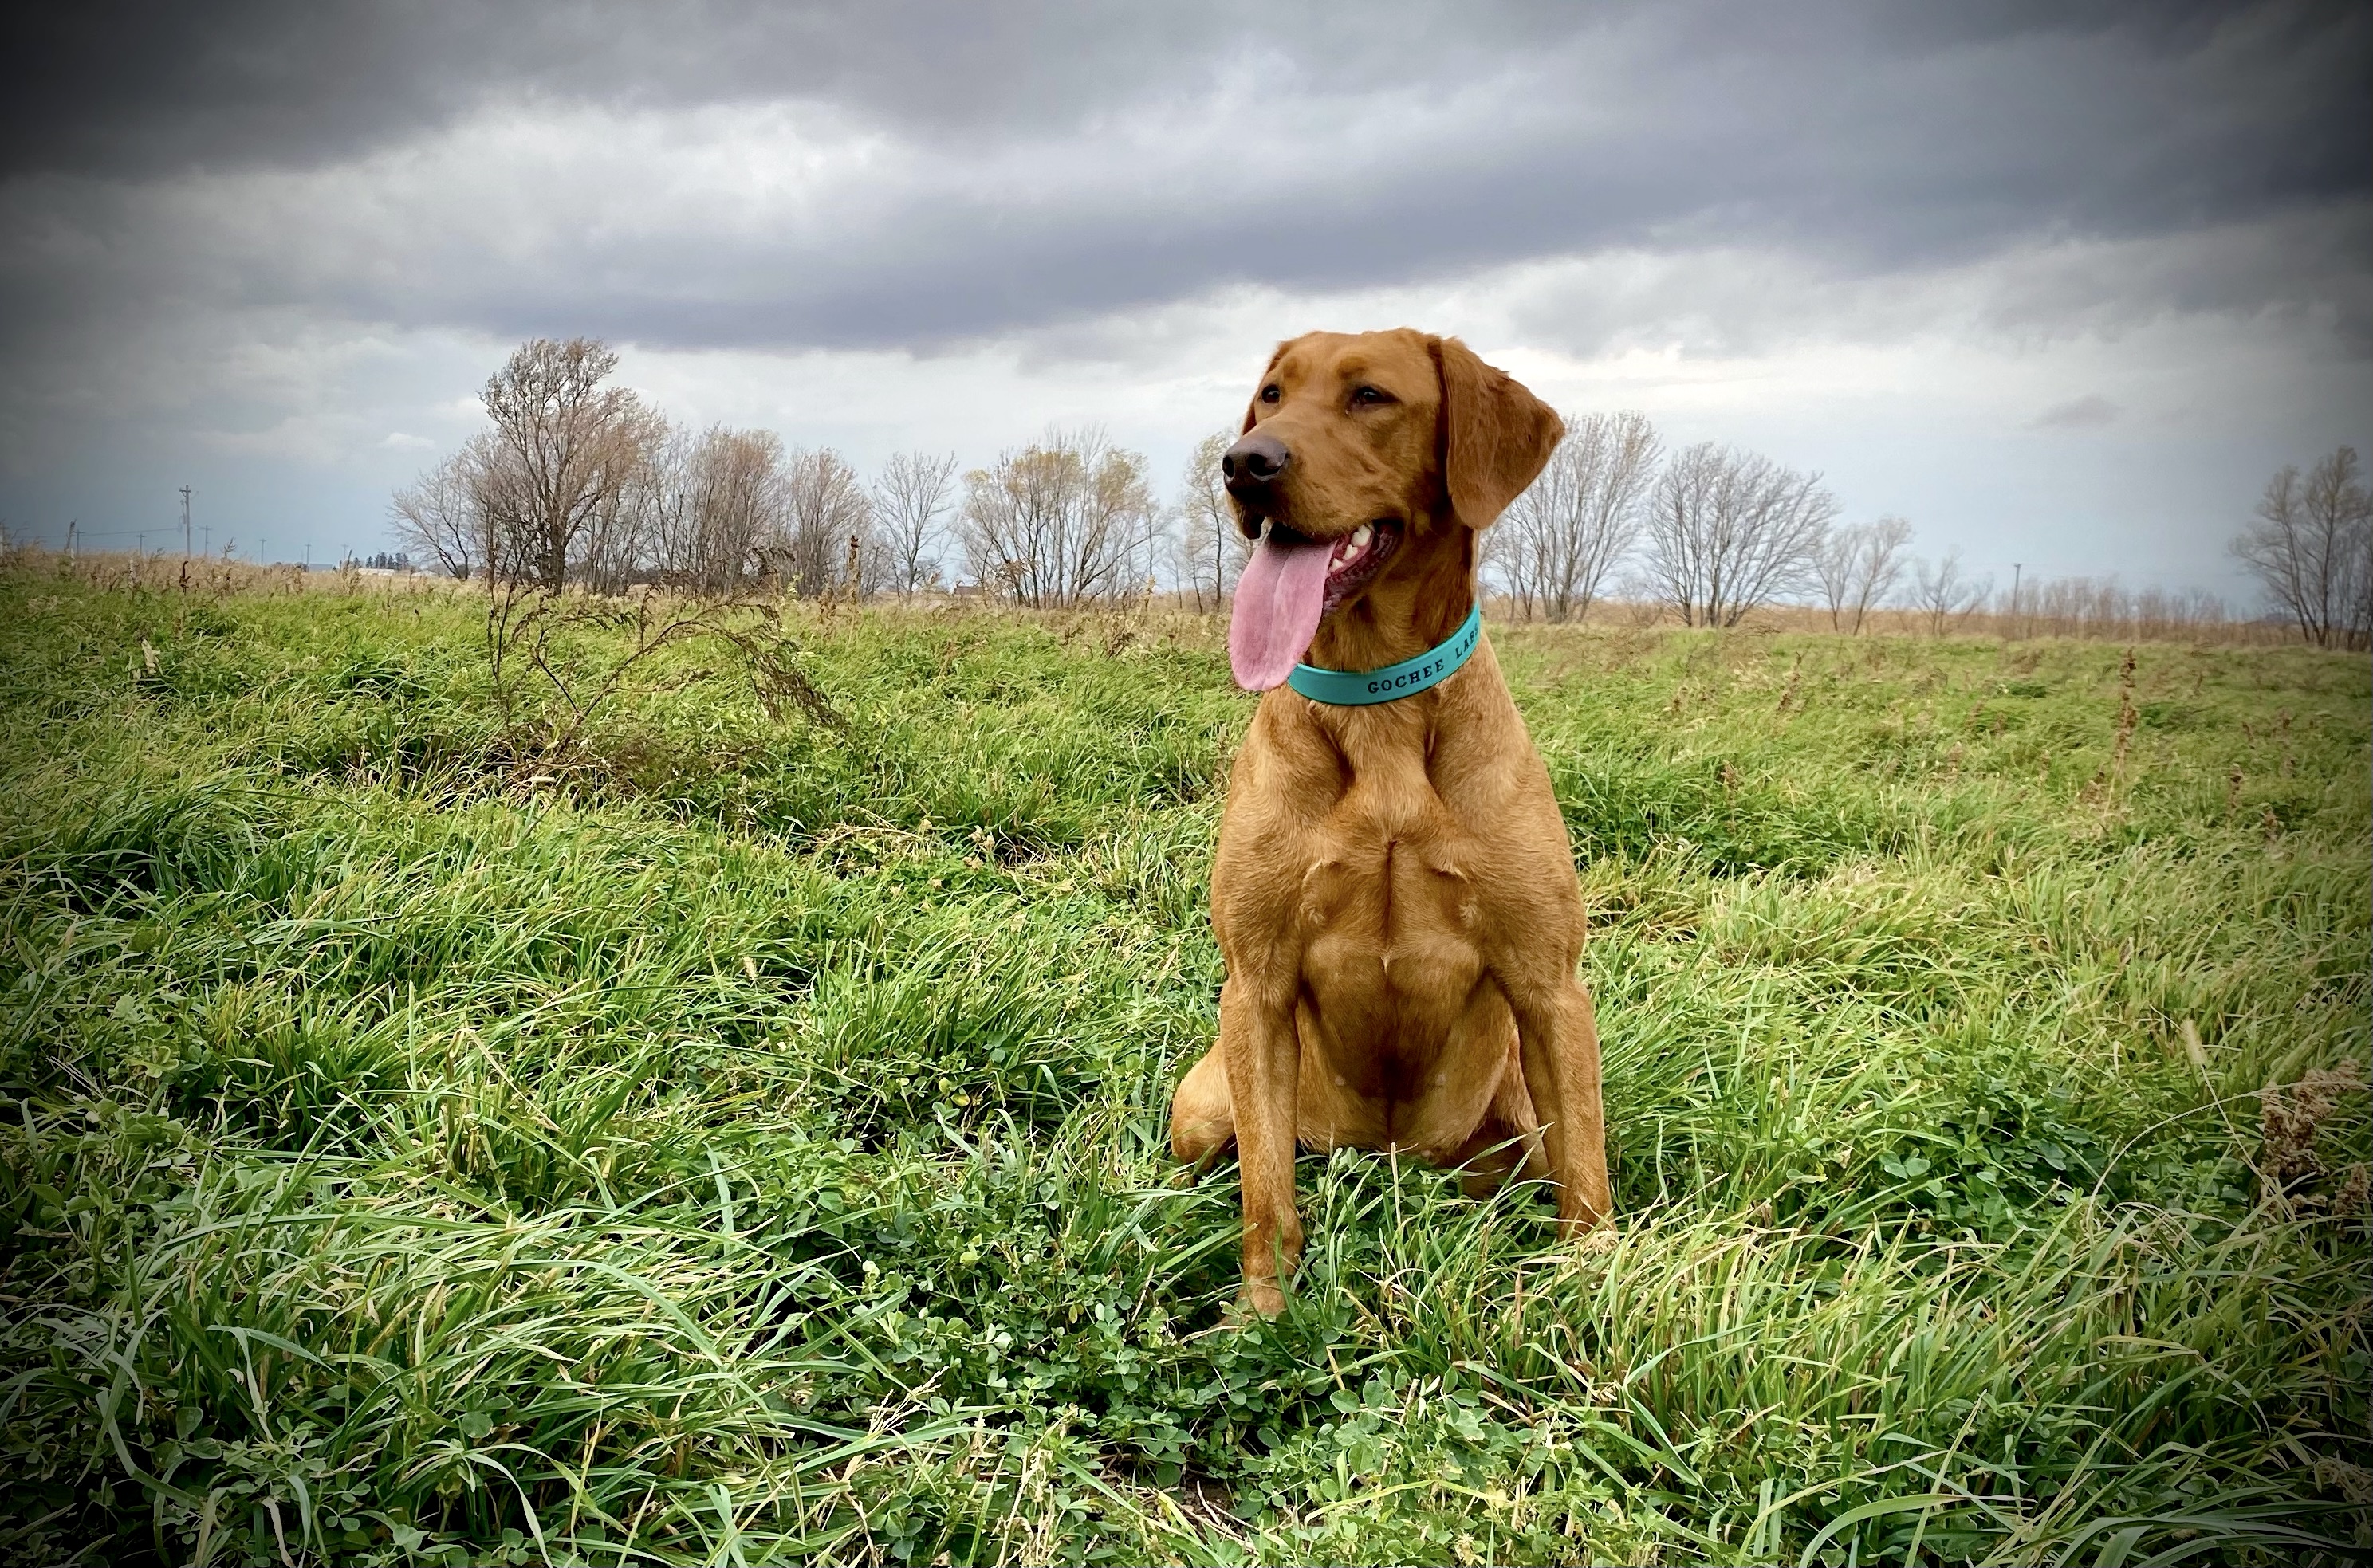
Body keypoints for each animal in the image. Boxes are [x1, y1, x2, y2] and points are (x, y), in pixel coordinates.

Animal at [1167, 334, 1613, 1318]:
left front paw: (1600, 1299)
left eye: (1370, 396)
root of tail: (1385, 1161)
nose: (1245, 464)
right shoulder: (1255, 987)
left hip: (1515, 1117)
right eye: (1271, 395)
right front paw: (1263, 1314)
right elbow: (1265, 1195)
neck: (1378, 707)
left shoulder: (1550, 988)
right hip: (1204, 1101)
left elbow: (1590, 1180)